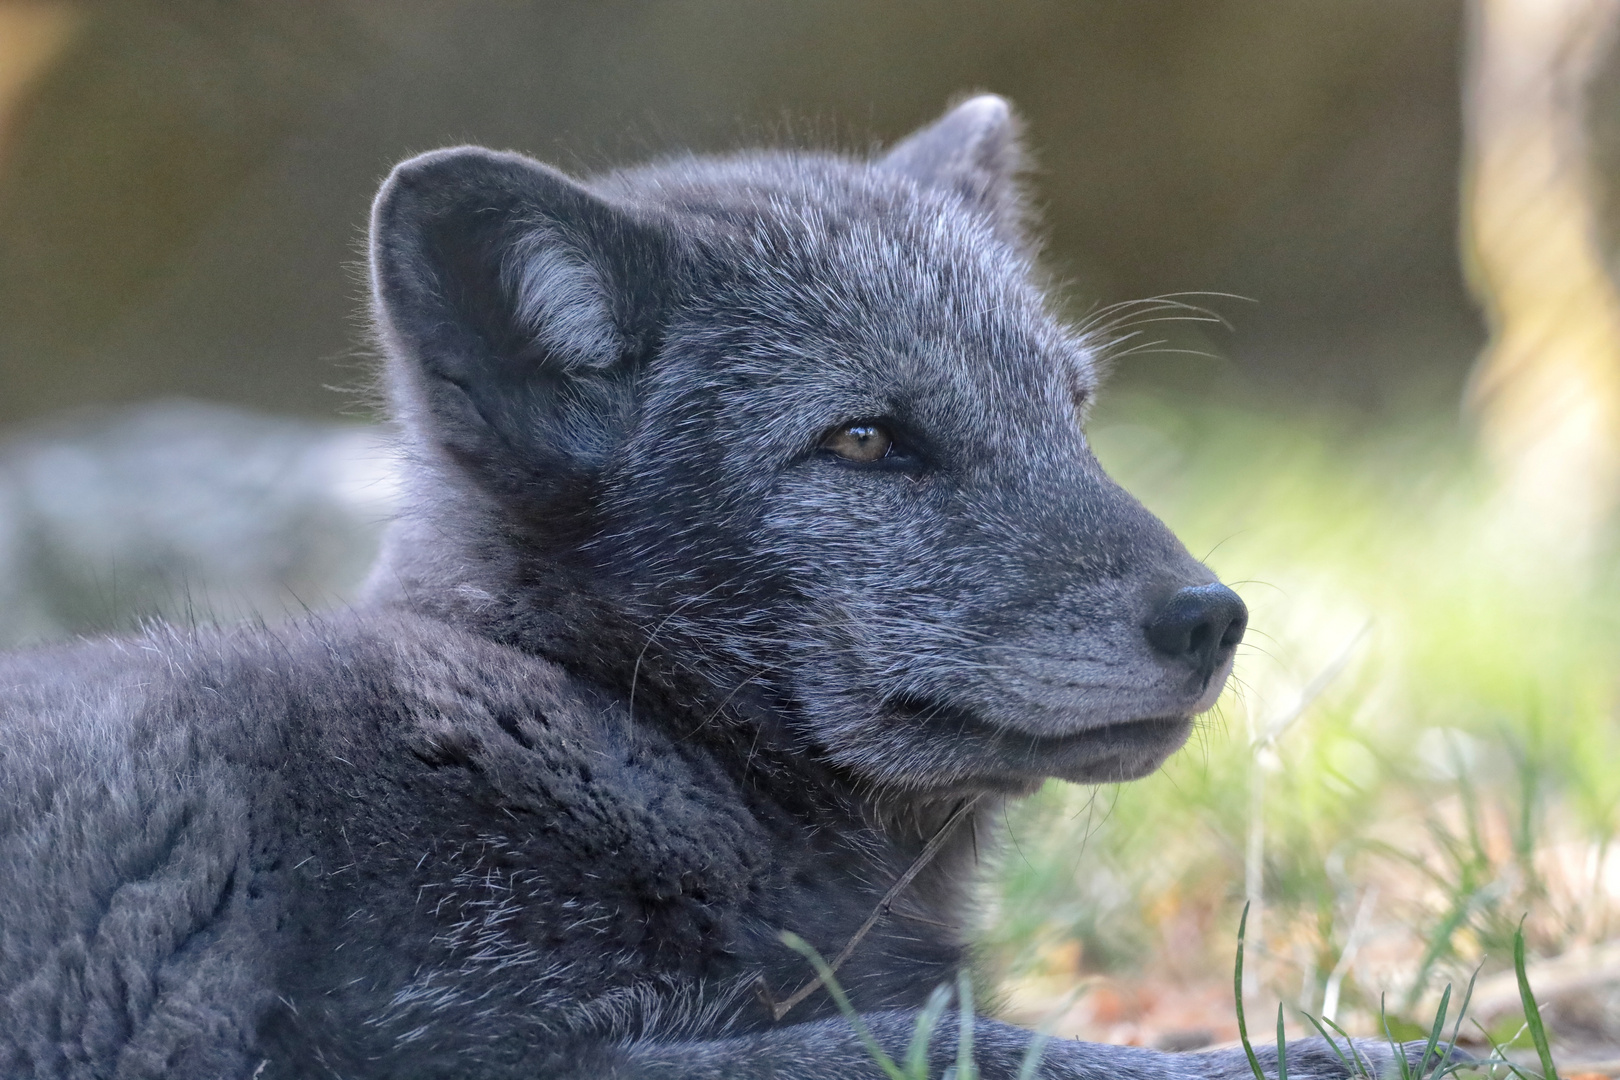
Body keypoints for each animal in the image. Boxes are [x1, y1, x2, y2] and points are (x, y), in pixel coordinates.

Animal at [0, 97, 1419, 1075]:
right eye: (866, 440)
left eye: (1072, 411)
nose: (1215, 618)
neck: (618, 727)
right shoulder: (471, 1048)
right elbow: (948, 1046)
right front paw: (1352, 1053)